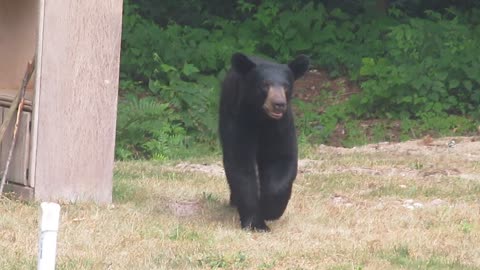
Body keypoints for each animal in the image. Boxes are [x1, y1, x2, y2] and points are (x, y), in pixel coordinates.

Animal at [219, 53, 310, 232]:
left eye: (286, 86)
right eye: (265, 85)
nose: (279, 104)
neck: (262, 120)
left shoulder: (281, 126)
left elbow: (282, 158)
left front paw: (270, 210)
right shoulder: (238, 120)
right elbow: (240, 164)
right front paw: (256, 223)